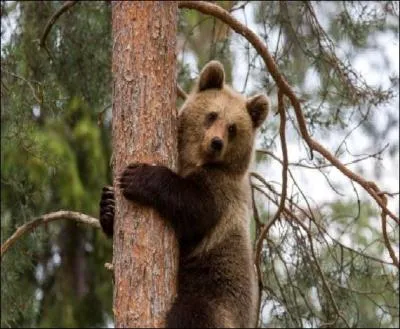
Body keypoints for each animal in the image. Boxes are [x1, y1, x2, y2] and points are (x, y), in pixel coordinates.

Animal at [99, 60, 270, 326]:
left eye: (233, 128)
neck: (196, 161)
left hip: (213, 291)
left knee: (193, 313)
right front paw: (108, 205)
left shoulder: (220, 191)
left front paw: (138, 177)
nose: (216, 142)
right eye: (212, 115)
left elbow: (193, 208)